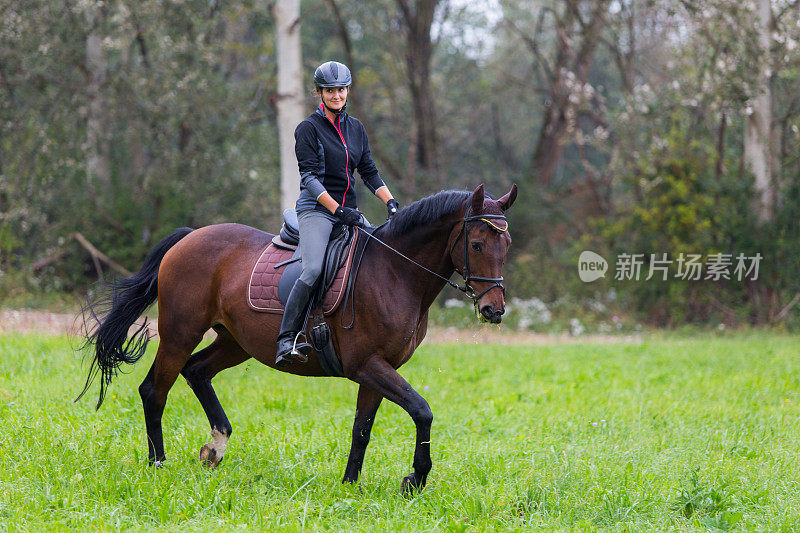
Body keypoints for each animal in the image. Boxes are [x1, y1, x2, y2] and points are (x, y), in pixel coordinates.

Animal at [78, 184, 520, 490]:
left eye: (507, 243)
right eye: (476, 244)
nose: (493, 310)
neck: (394, 272)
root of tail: (190, 236)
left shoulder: (376, 370)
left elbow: (362, 429)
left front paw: (350, 486)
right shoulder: (367, 365)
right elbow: (422, 410)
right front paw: (416, 479)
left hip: (236, 343)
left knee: (197, 371)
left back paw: (216, 446)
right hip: (179, 333)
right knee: (155, 389)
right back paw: (159, 464)